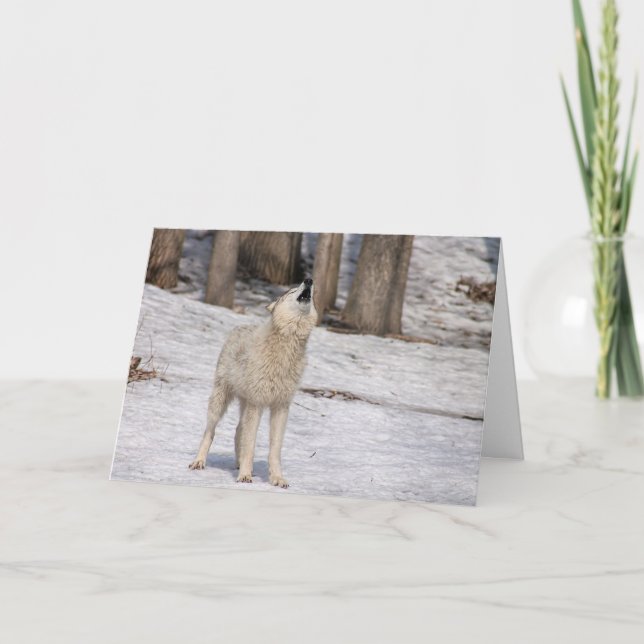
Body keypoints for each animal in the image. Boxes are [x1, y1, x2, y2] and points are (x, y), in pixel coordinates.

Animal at [188, 278, 317, 488]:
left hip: (245, 403)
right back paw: (199, 462)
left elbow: (274, 449)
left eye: (313, 293)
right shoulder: (256, 404)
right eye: (291, 291)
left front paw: (277, 478)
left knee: (238, 430)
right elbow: (250, 445)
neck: (287, 346)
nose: (309, 280)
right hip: (221, 401)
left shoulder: (281, 407)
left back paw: (238, 463)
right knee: (210, 431)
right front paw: (245, 476)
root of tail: (239, 326)